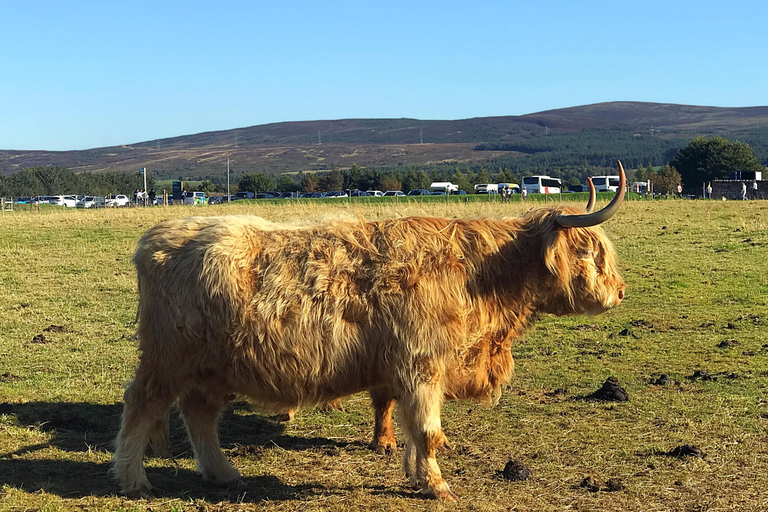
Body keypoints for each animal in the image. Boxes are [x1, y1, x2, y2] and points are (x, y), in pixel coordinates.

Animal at [115, 163, 632, 500]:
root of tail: (159, 236)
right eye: (592, 253)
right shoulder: (420, 366)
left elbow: (410, 426)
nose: (621, 292)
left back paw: (224, 473)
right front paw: (437, 486)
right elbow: (427, 431)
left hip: (213, 366)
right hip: (167, 359)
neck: (480, 279)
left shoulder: (407, 371)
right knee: (142, 405)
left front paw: (416, 473)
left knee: (199, 414)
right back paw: (133, 479)